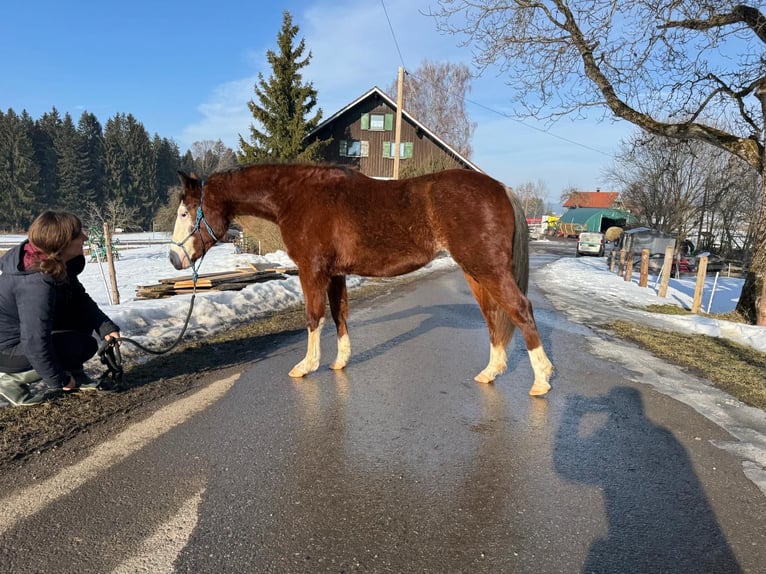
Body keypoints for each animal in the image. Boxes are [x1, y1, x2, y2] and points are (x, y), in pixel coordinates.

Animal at [169, 163, 554, 396]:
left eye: (186, 213)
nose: (175, 259)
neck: (297, 196)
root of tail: (501, 187)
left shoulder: (312, 270)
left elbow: (314, 316)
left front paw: (306, 366)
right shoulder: (335, 273)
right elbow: (339, 314)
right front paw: (339, 362)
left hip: (487, 268)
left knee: (520, 309)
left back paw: (541, 381)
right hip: (476, 272)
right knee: (493, 317)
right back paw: (491, 372)